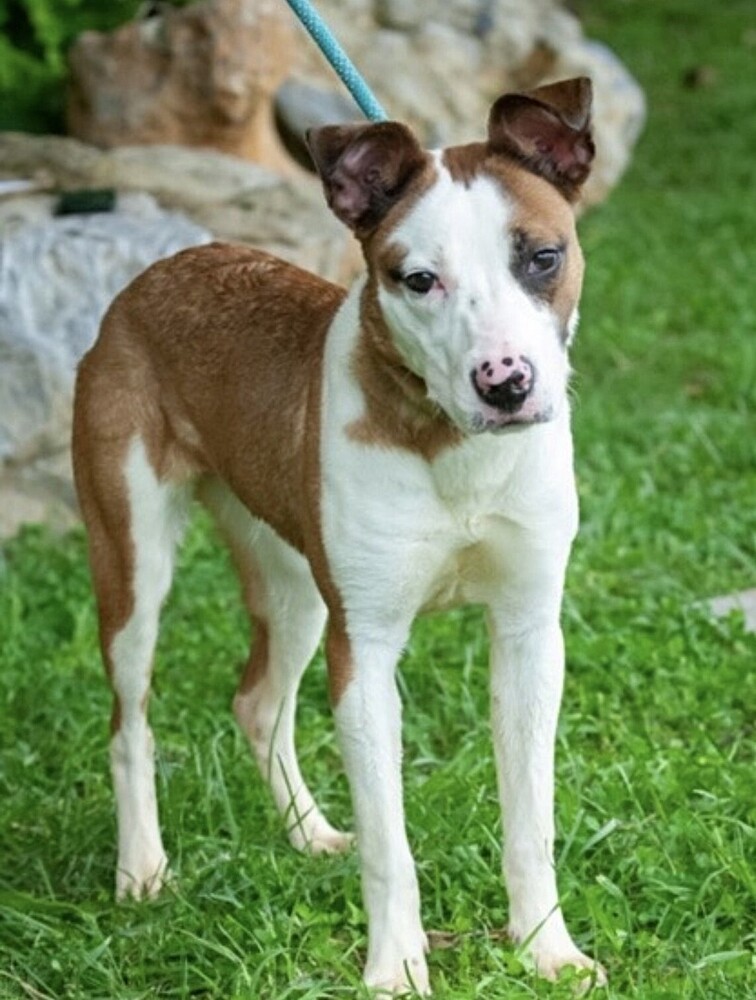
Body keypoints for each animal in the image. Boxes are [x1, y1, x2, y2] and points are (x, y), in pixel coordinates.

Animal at [75, 78, 608, 992]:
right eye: (419, 279)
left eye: (542, 257)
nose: (506, 384)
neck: (450, 444)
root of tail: (156, 273)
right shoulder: (367, 648)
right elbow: (392, 845)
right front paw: (396, 968)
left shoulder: (530, 633)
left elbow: (530, 820)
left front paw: (546, 948)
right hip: (133, 564)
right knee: (129, 721)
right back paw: (142, 867)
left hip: (297, 586)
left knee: (257, 701)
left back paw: (308, 831)